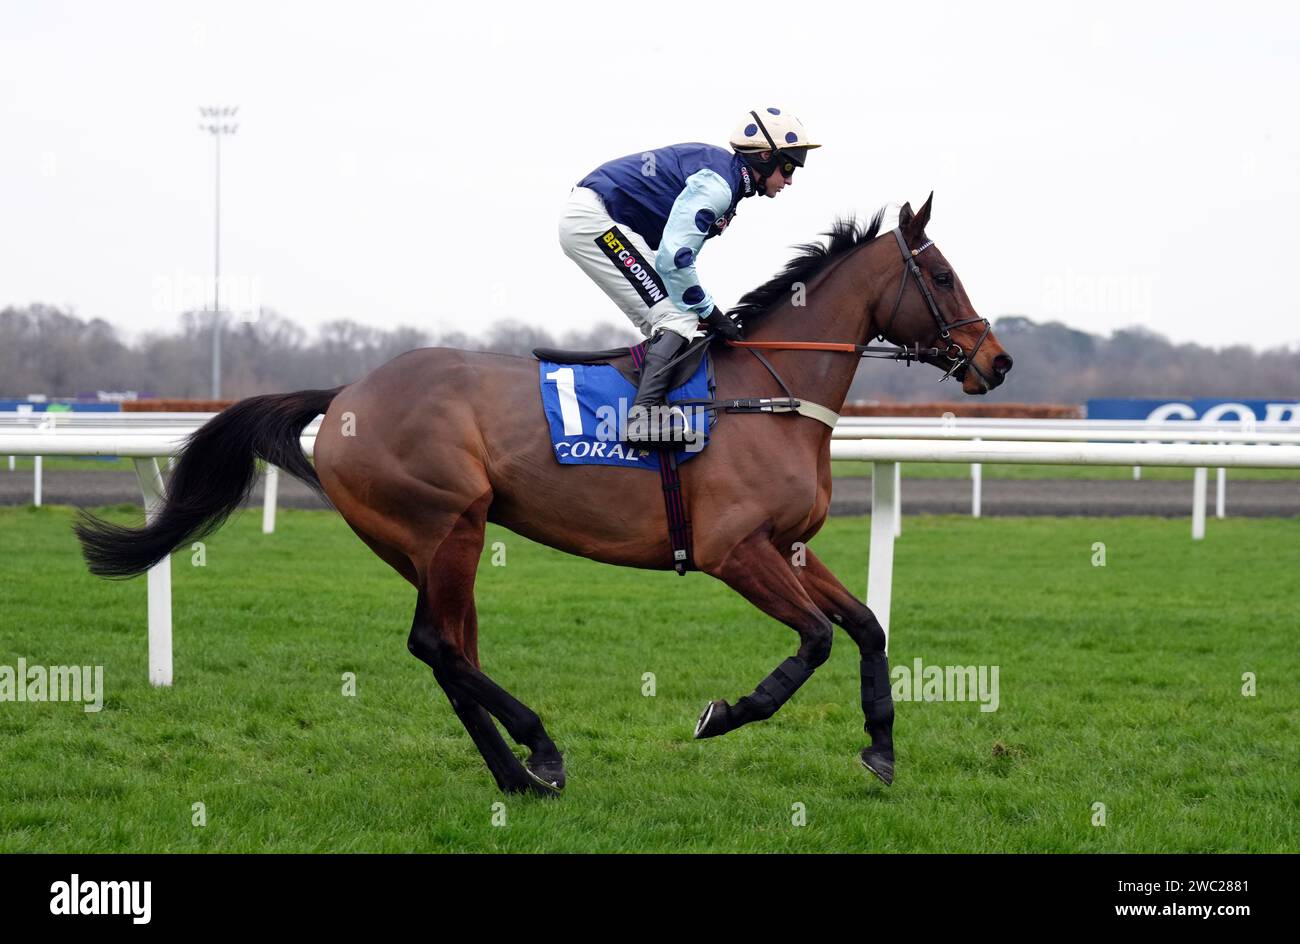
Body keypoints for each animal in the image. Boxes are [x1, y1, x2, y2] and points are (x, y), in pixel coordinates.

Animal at [76, 197, 1013, 800]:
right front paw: (723, 714)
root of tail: (345, 395)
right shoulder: (732, 551)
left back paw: (517, 777)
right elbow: (815, 640)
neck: (767, 393)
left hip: (429, 546)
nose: (996, 361)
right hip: (446, 525)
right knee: (438, 646)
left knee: (450, 655)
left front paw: (882, 750)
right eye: (940, 273)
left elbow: (867, 625)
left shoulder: (787, 545)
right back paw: (542, 749)